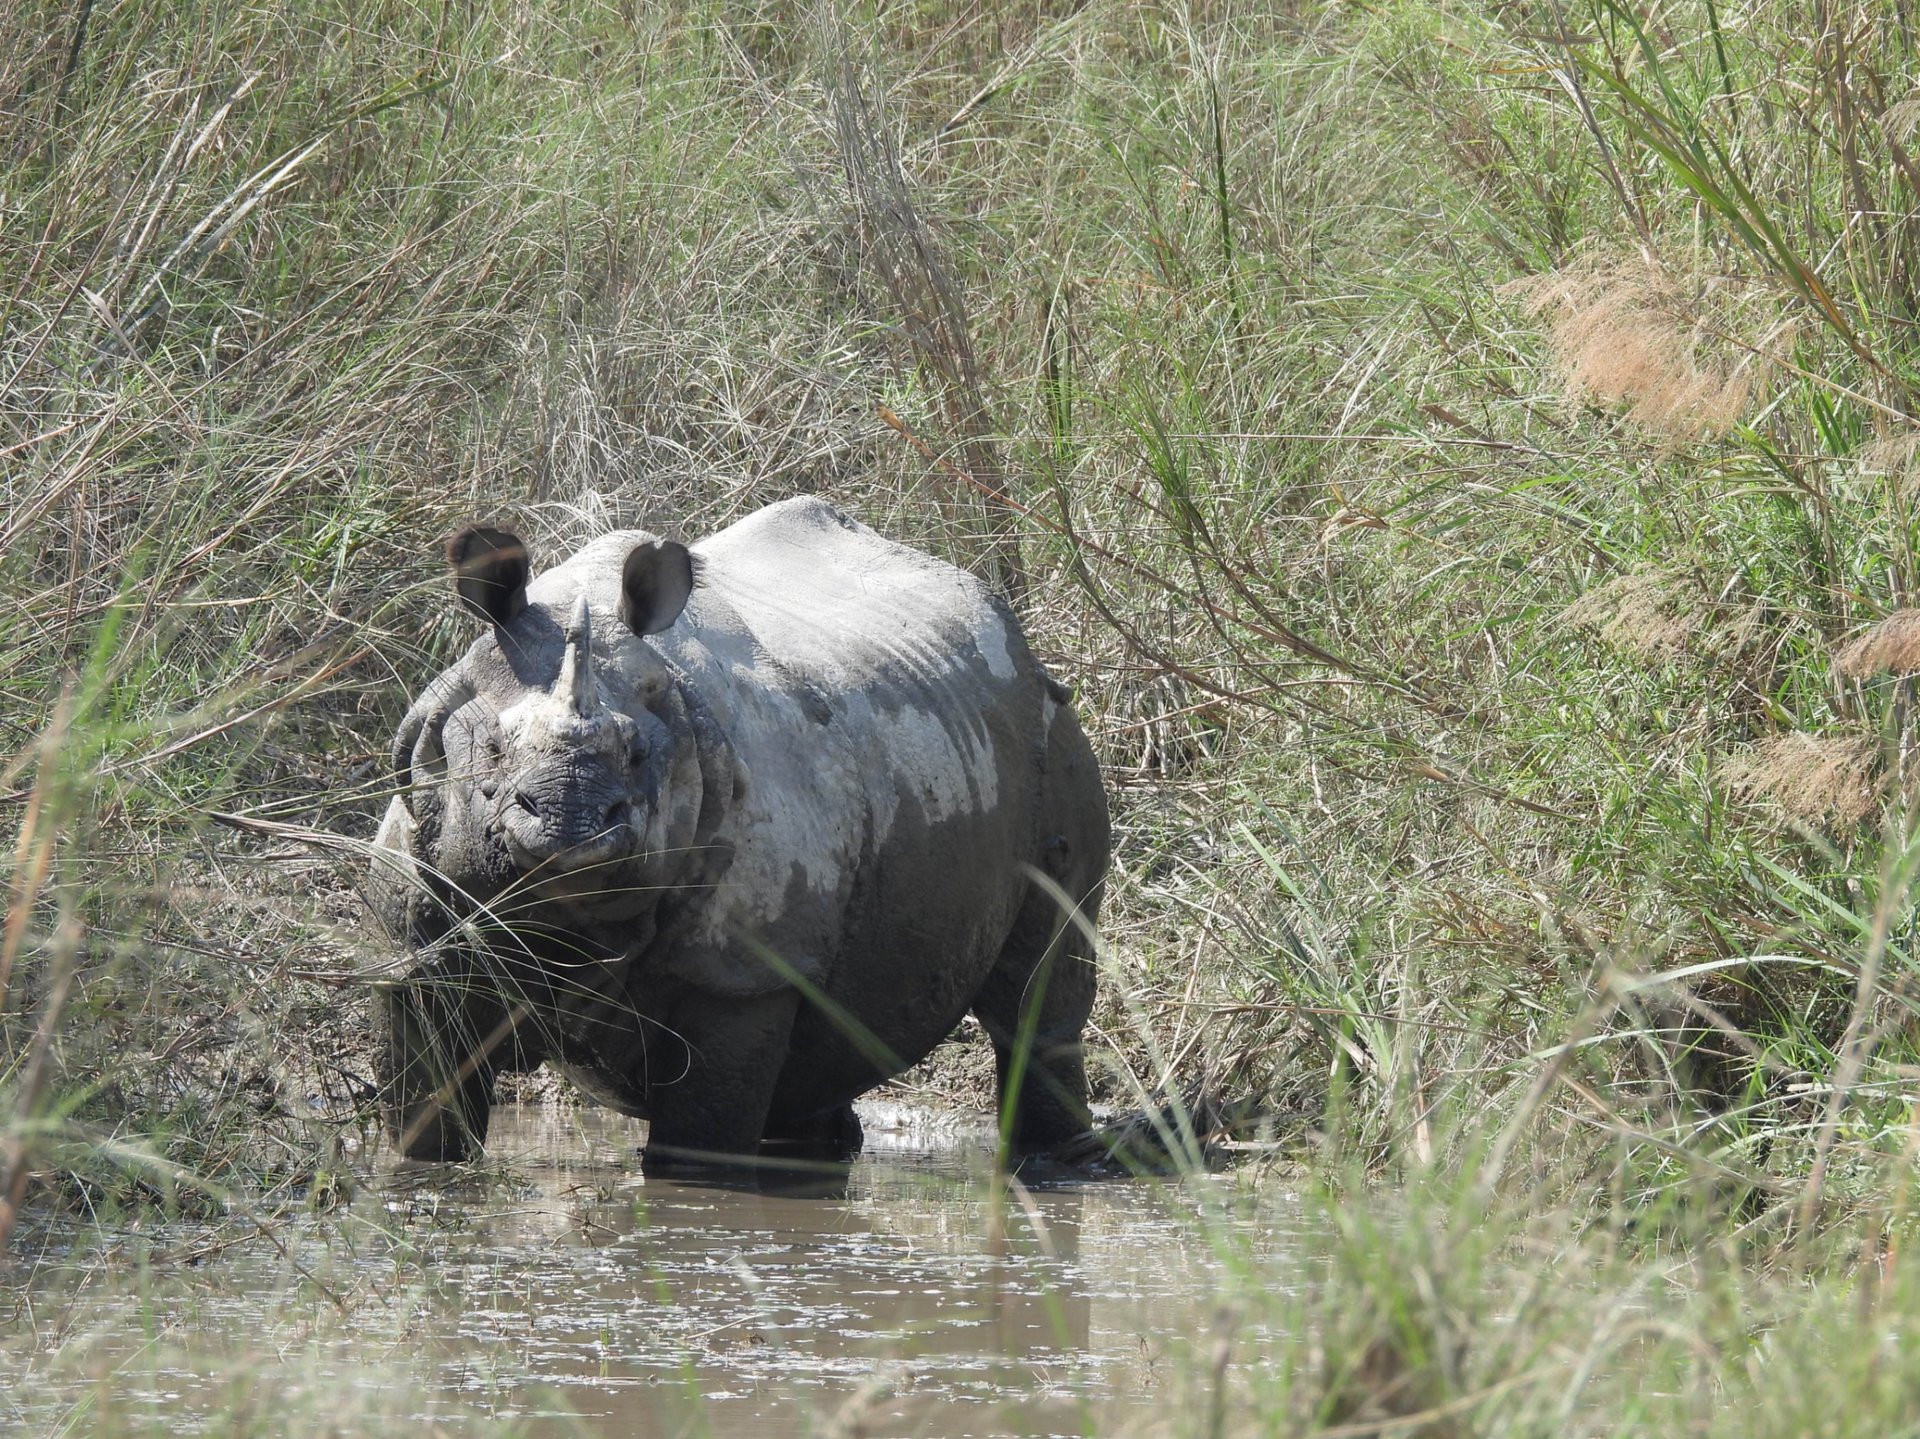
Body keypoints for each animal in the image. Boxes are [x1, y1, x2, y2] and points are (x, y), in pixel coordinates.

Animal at [367, 496, 1108, 1170]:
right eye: (491, 751)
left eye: (638, 754)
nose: (566, 825)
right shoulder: (415, 938)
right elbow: (426, 1121)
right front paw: (422, 1169)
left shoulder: (741, 971)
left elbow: (701, 1148)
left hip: (1053, 735)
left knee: (1036, 995)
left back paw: (1056, 1162)